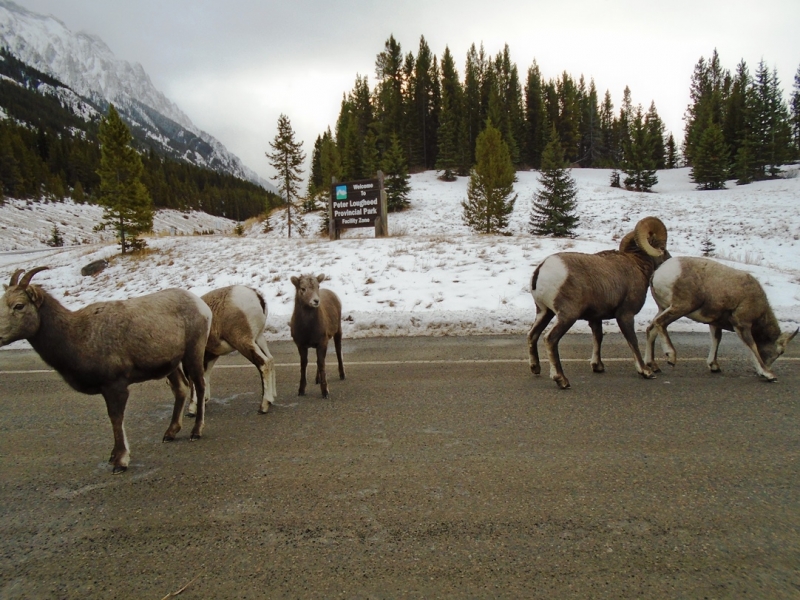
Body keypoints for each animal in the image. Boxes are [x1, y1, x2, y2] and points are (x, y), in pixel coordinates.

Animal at [0, 267, 212, 473]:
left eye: (19, 305)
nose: (0, 336)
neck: (78, 336)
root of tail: (202, 306)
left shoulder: (115, 386)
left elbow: (116, 419)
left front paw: (120, 462)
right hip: (171, 365)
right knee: (181, 388)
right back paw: (169, 433)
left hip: (193, 354)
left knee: (199, 386)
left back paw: (196, 432)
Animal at [185, 285, 277, 416]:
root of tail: (257, 296)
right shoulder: (211, 355)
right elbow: (205, 375)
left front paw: (192, 409)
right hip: (258, 339)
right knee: (270, 360)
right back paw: (272, 399)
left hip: (244, 342)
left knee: (263, 363)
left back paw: (264, 406)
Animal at [528, 216, 670, 389]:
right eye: (662, 247)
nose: (668, 259)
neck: (638, 265)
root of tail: (542, 269)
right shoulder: (625, 315)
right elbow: (633, 341)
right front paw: (645, 372)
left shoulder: (596, 318)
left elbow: (598, 337)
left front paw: (598, 366)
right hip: (567, 316)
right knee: (550, 339)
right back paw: (561, 380)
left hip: (544, 312)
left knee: (532, 335)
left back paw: (535, 368)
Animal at [646, 256, 797, 381]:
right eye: (781, 352)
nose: (767, 367)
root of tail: (657, 273)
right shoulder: (742, 325)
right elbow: (752, 346)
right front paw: (768, 374)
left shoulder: (715, 323)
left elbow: (717, 339)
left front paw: (714, 366)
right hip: (681, 308)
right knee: (660, 323)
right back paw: (671, 357)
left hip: (663, 308)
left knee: (651, 330)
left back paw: (652, 366)